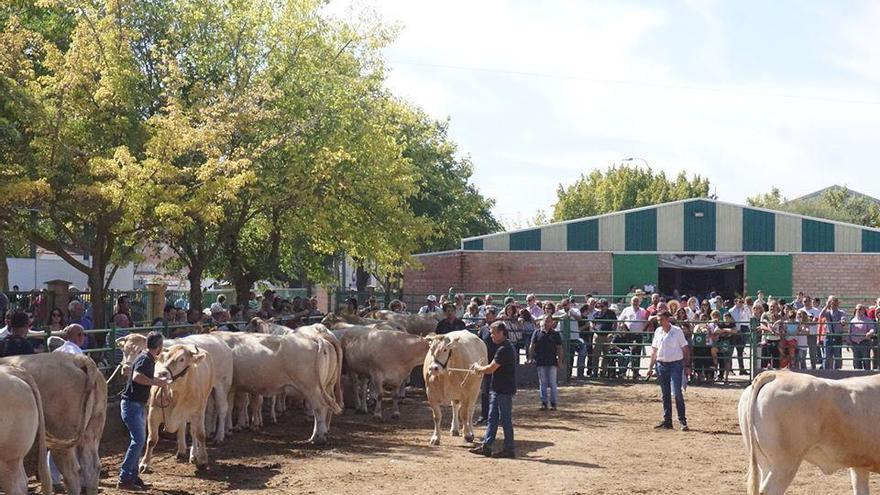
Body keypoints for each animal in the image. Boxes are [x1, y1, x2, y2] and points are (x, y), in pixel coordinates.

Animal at [143, 344, 217, 472]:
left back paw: (194, 454)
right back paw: (182, 450)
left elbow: (200, 435)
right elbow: (152, 440)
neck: (176, 393)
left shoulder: (197, 413)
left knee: (193, 431)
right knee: (182, 426)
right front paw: (145, 464)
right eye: (165, 357)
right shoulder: (153, 412)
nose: (162, 373)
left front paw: (202, 460)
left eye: (182, 359)